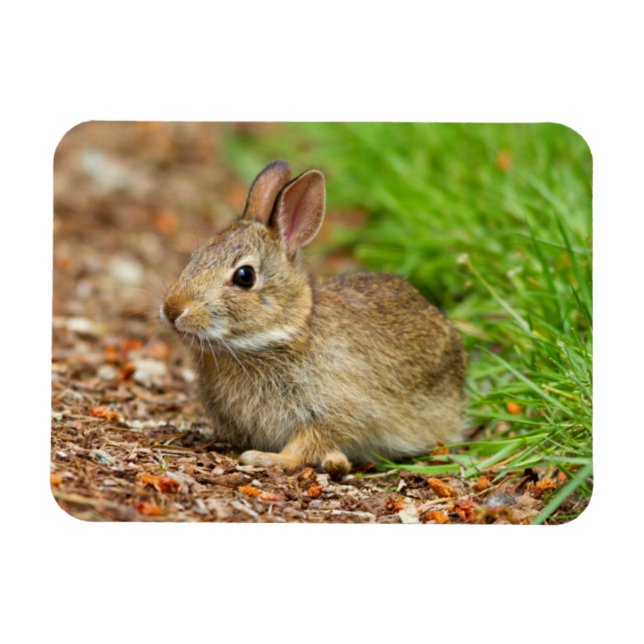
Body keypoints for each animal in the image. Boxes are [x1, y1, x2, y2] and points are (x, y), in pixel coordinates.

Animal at [161, 160, 467, 477]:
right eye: (196, 256)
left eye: (245, 276)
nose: (172, 310)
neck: (281, 333)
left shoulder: (335, 412)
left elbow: (306, 443)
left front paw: (265, 459)